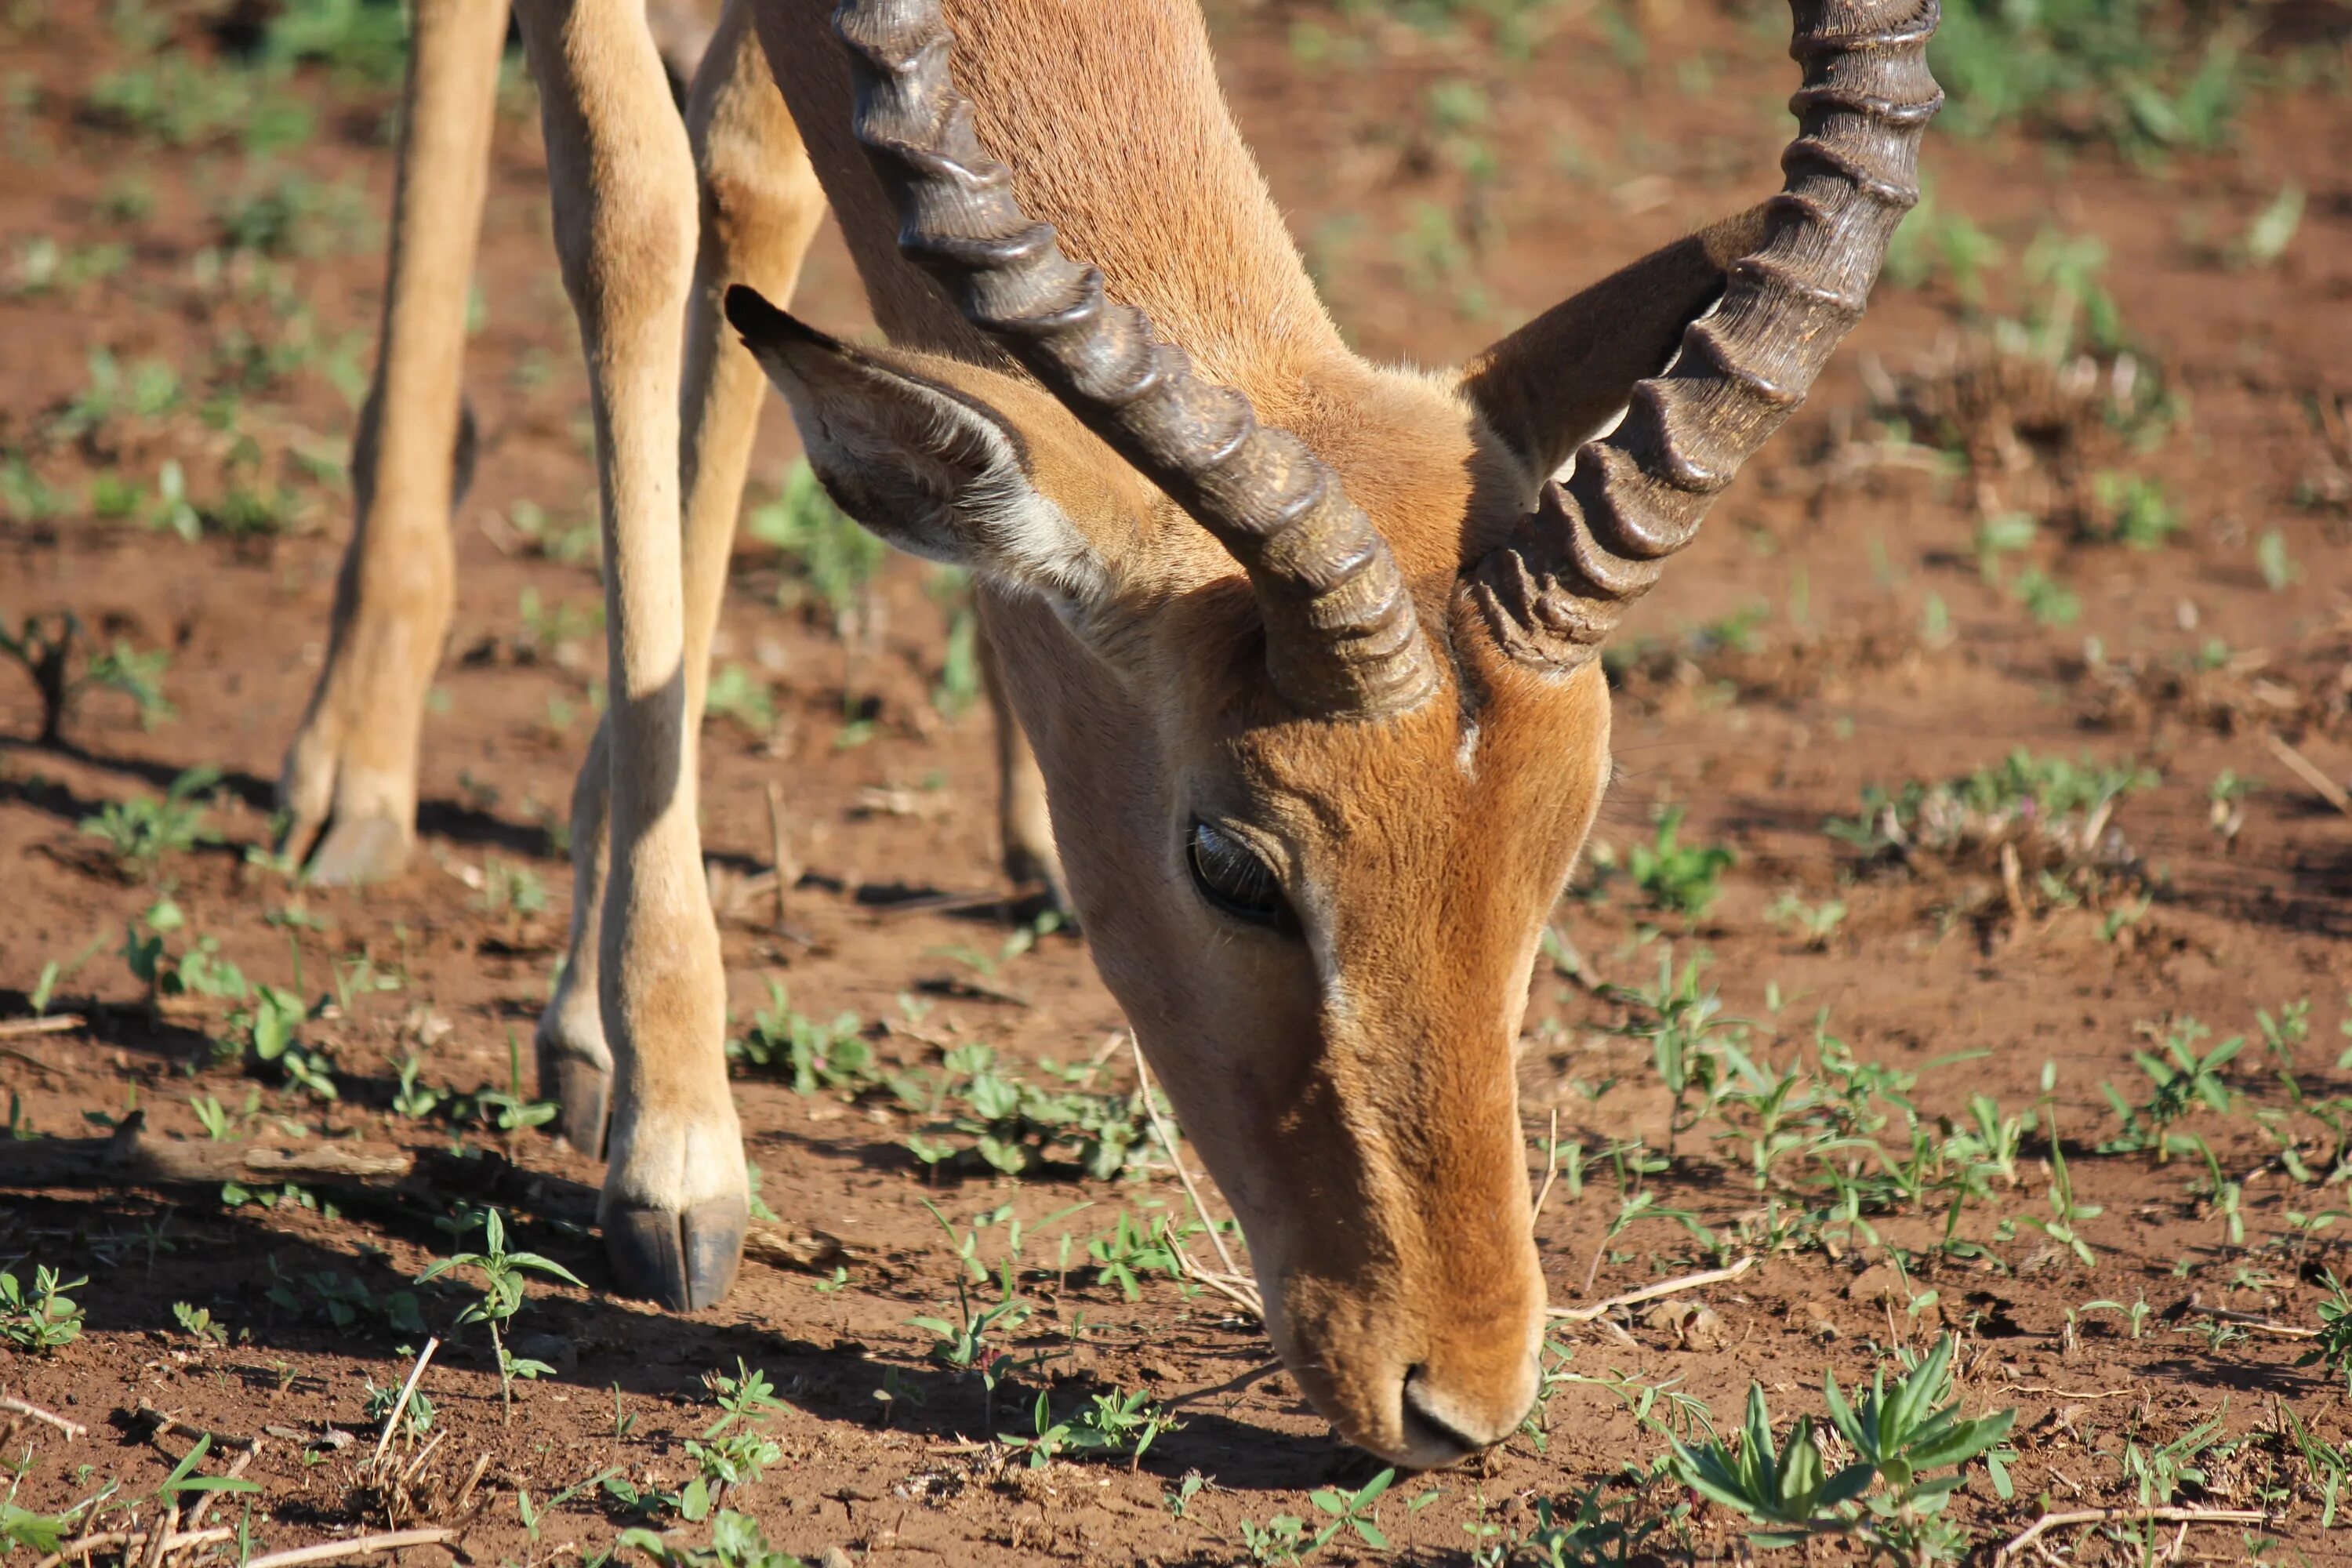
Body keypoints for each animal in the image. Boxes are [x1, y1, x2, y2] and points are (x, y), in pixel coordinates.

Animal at [303, 0, 1938, 1476]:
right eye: (1230, 864)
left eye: (1564, 842)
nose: (1460, 1401)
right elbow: (637, 208)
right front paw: (677, 1152)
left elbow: (749, 182)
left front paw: (602, 1026)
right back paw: (350, 775)